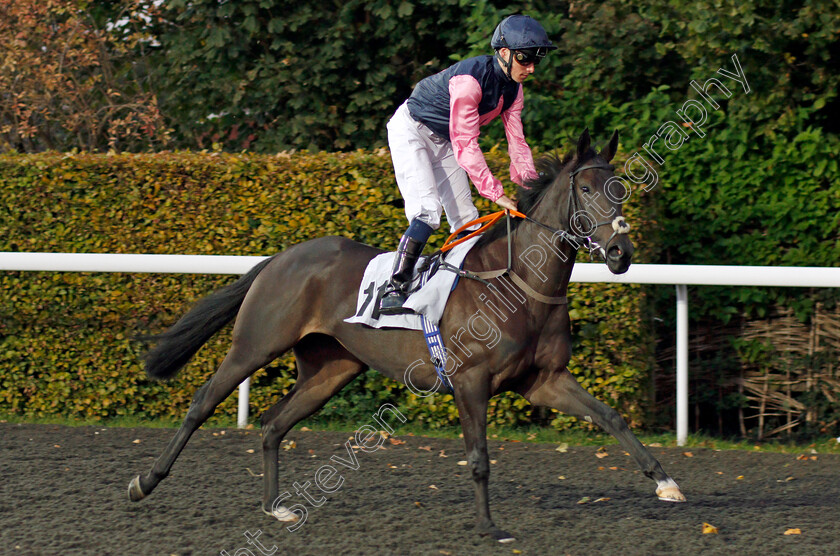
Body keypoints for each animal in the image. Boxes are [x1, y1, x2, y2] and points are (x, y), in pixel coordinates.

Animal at [128, 128, 684, 540]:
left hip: (330, 369)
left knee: (273, 423)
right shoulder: (470, 381)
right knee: (202, 401)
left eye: (620, 189)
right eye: (586, 190)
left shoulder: (543, 380)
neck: (516, 283)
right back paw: (144, 483)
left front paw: (666, 483)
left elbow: (611, 417)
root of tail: (281, 257)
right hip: (256, 344)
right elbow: (479, 457)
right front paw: (488, 526)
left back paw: (277, 507)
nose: (621, 254)